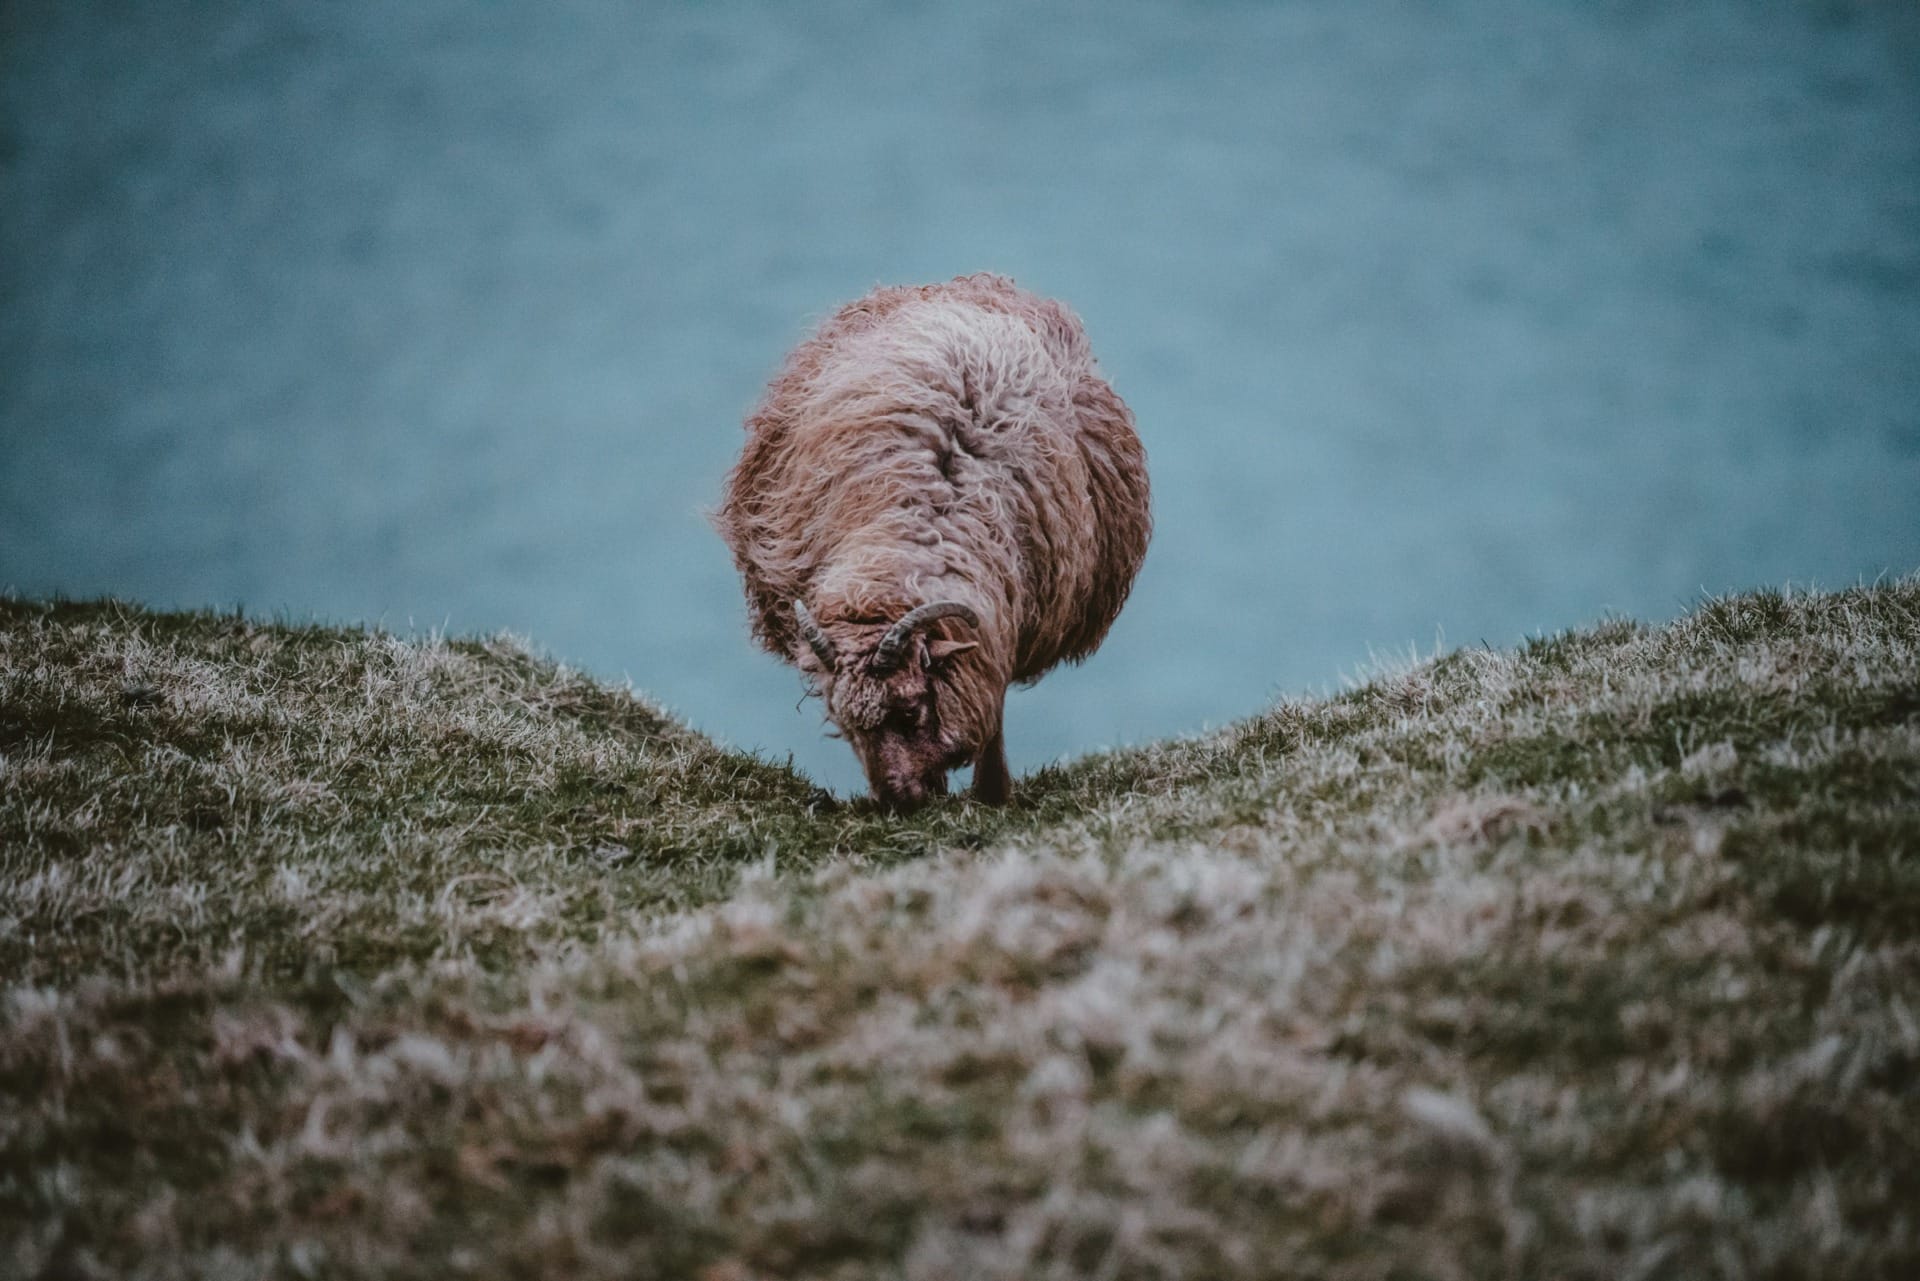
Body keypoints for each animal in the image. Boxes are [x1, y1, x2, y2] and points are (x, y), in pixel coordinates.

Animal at [714, 273, 1151, 810]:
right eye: (847, 724)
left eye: (911, 708)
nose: (896, 804)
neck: (915, 527)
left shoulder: (998, 628)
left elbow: (992, 712)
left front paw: (992, 793)